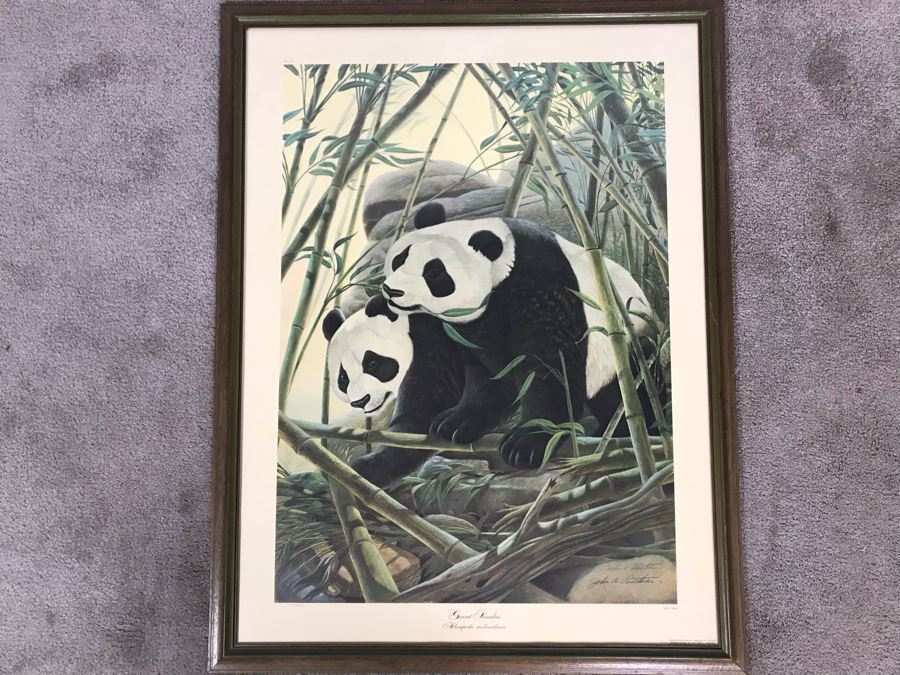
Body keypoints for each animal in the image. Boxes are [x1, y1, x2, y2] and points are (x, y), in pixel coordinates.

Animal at [380, 202, 661, 469]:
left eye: (434, 272)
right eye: (400, 259)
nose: (391, 291)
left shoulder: (545, 288)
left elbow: (551, 367)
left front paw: (526, 443)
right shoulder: (472, 330)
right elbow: (486, 377)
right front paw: (455, 422)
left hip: (628, 346)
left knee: (633, 389)